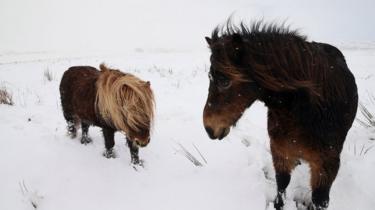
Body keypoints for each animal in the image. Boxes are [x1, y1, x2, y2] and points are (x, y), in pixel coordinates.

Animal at [204, 20, 360, 209]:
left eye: (224, 81)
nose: (209, 128)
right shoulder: (280, 151)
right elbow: (282, 183)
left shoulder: (325, 167)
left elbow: (319, 200)